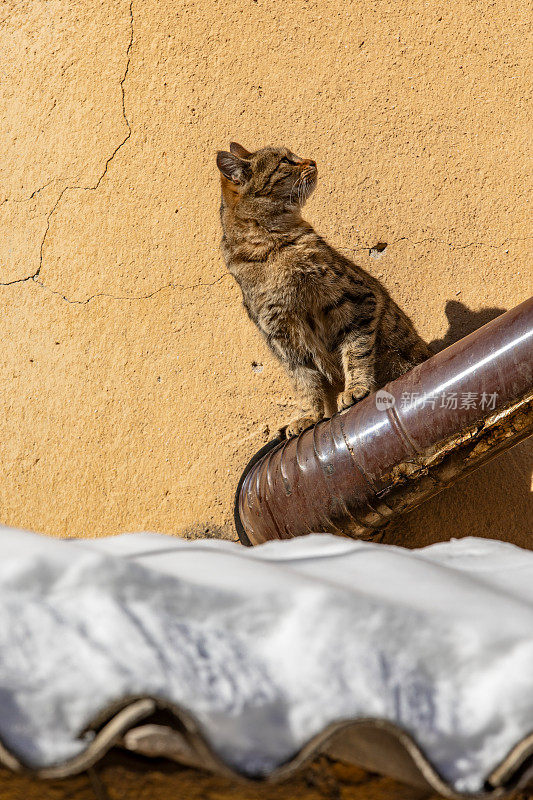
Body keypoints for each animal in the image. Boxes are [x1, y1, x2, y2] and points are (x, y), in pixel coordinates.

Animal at [216, 141, 432, 434]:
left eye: (294, 156)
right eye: (286, 161)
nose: (312, 161)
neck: (272, 248)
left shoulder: (358, 299)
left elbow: (356, 350)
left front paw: (356, 388)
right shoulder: (284, 338)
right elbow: (304, 382)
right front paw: (309, 415)